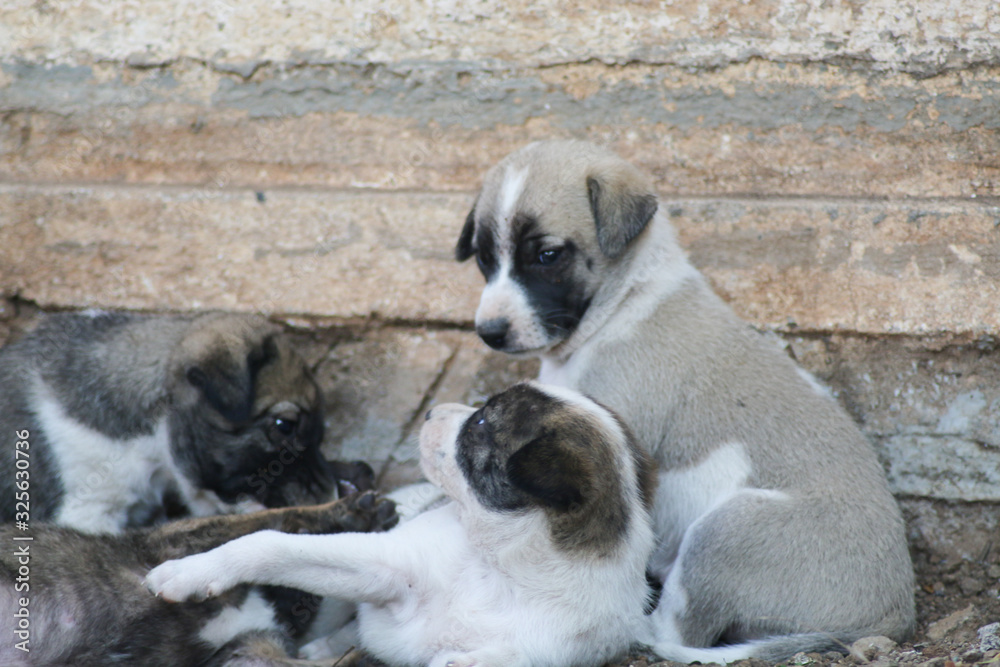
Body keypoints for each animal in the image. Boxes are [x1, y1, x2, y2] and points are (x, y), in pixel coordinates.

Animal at [146, 384, 656, 667]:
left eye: (482, 422)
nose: (430, 412)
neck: (500, 565)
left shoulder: (561, 645)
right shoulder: (383, 566)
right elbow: (269, 543)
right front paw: (192, 571)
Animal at [456, 140, 916, 664]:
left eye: (547, 255)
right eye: (483, 259)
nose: (490, 332)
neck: (627, 300)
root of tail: (893, 615)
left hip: (727, 530)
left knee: (678, 631)